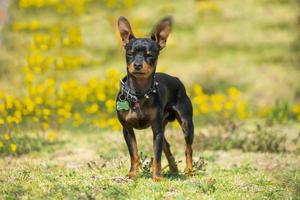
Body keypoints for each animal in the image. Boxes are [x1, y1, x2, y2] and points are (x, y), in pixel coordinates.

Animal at [115, 16, 195, 181]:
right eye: (129, 54)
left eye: (149, 55)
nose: (137, 65)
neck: (139, 93)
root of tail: (176, 79)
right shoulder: (127, 130)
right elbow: (134, 154)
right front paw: (132, 174)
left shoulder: (156, 130)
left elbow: (156, 155)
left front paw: (157, 177)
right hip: (163, 129)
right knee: (167, 146)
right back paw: (173, 169)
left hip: (186, 124)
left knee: (188, 149)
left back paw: (189, 171)